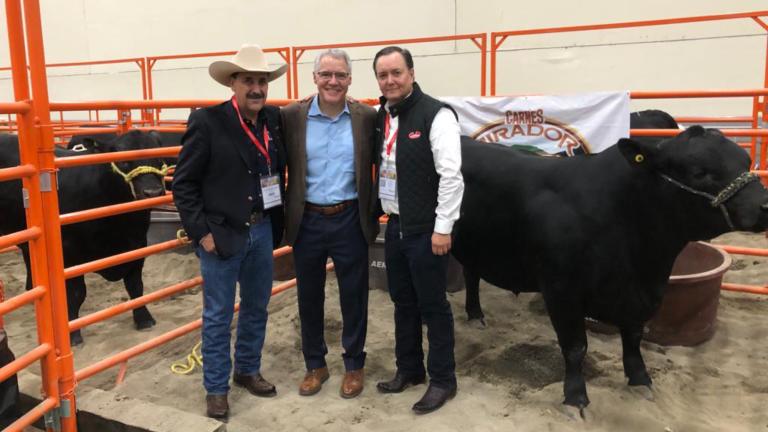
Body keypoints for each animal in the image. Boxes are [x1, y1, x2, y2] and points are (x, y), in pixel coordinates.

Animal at [0, 130, 168, 346]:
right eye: (123, 161)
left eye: (159, 159)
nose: (153, 192)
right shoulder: (70, 253)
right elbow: (76, 293)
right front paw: (73, 333)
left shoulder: (138, 245)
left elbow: (135, 286)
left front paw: (144, 318)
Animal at [450, 123, 768, 414]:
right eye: (699, 171)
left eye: (746, 162)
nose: (764, 206)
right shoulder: (560, 288)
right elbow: (575, 346)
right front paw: (575, 398)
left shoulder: (641, 293)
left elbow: (634, 336)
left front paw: (640, 380)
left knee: (471, 274)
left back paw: (476, 315)